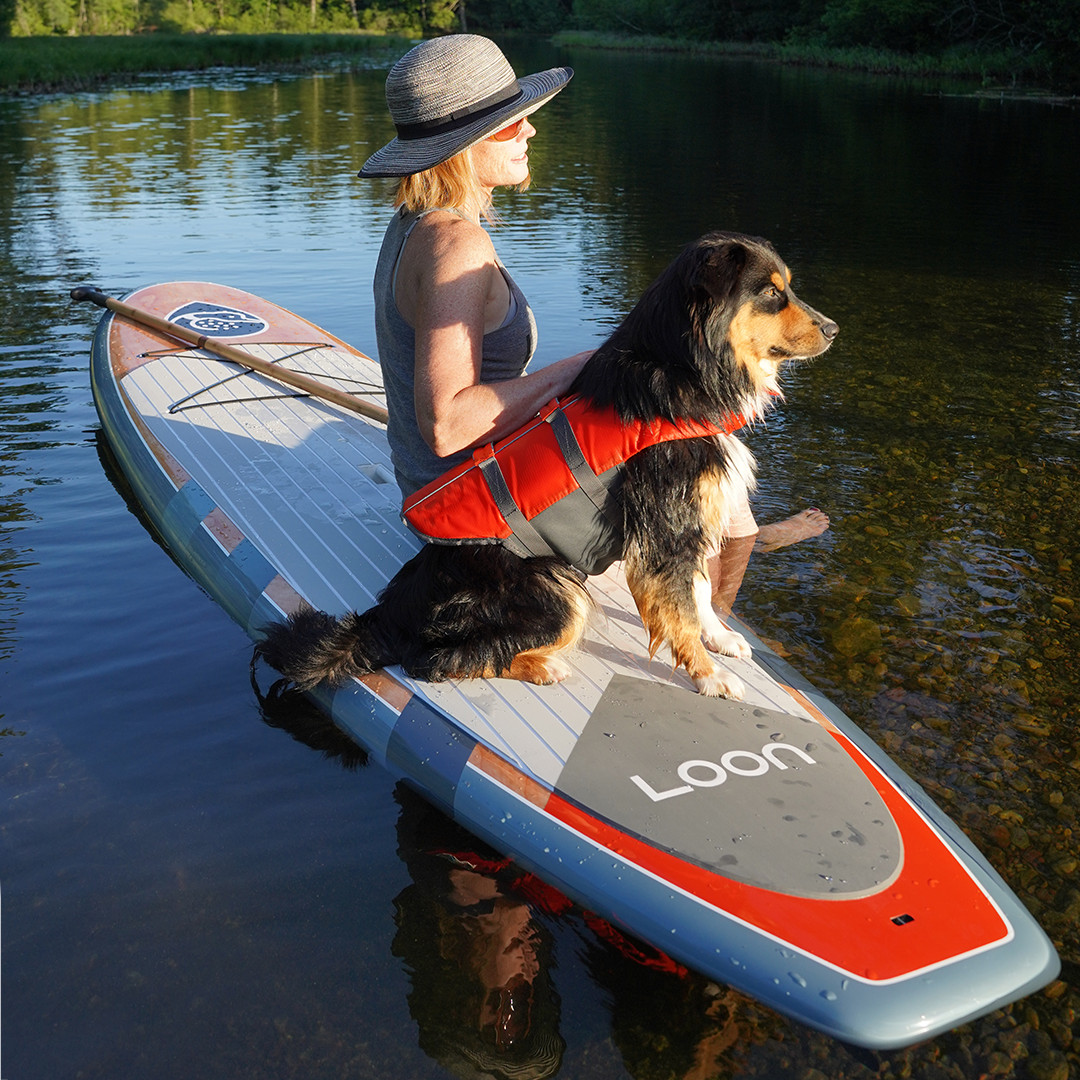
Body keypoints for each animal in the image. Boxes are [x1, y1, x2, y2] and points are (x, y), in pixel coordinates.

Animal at [257, 228, 838, 699]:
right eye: (771, 292)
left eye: (787, 287)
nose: (834, 329)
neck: (687, 366)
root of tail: (391, 614)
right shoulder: (666, 524)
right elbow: (679, 606)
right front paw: (708, 677)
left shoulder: (687, 516)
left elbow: (697, 592)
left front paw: (719, 638)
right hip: (555, 584)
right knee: (437, 660)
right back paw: (541, 667)